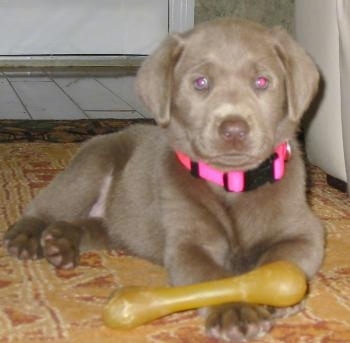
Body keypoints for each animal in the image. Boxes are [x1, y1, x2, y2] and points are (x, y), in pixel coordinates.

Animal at [4, 19, 324, 343]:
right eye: (200, 83)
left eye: (261, 82)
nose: (234, 129)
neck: (232, 182)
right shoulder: (188, 244)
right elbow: (212, 279)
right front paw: (235, 308)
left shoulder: (304, 232)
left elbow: (282, 261)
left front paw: (275, 296)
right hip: (91, 167)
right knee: (45, 206)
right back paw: (27, 238)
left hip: (119, 225)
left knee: (93, 226)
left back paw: (60, 243)